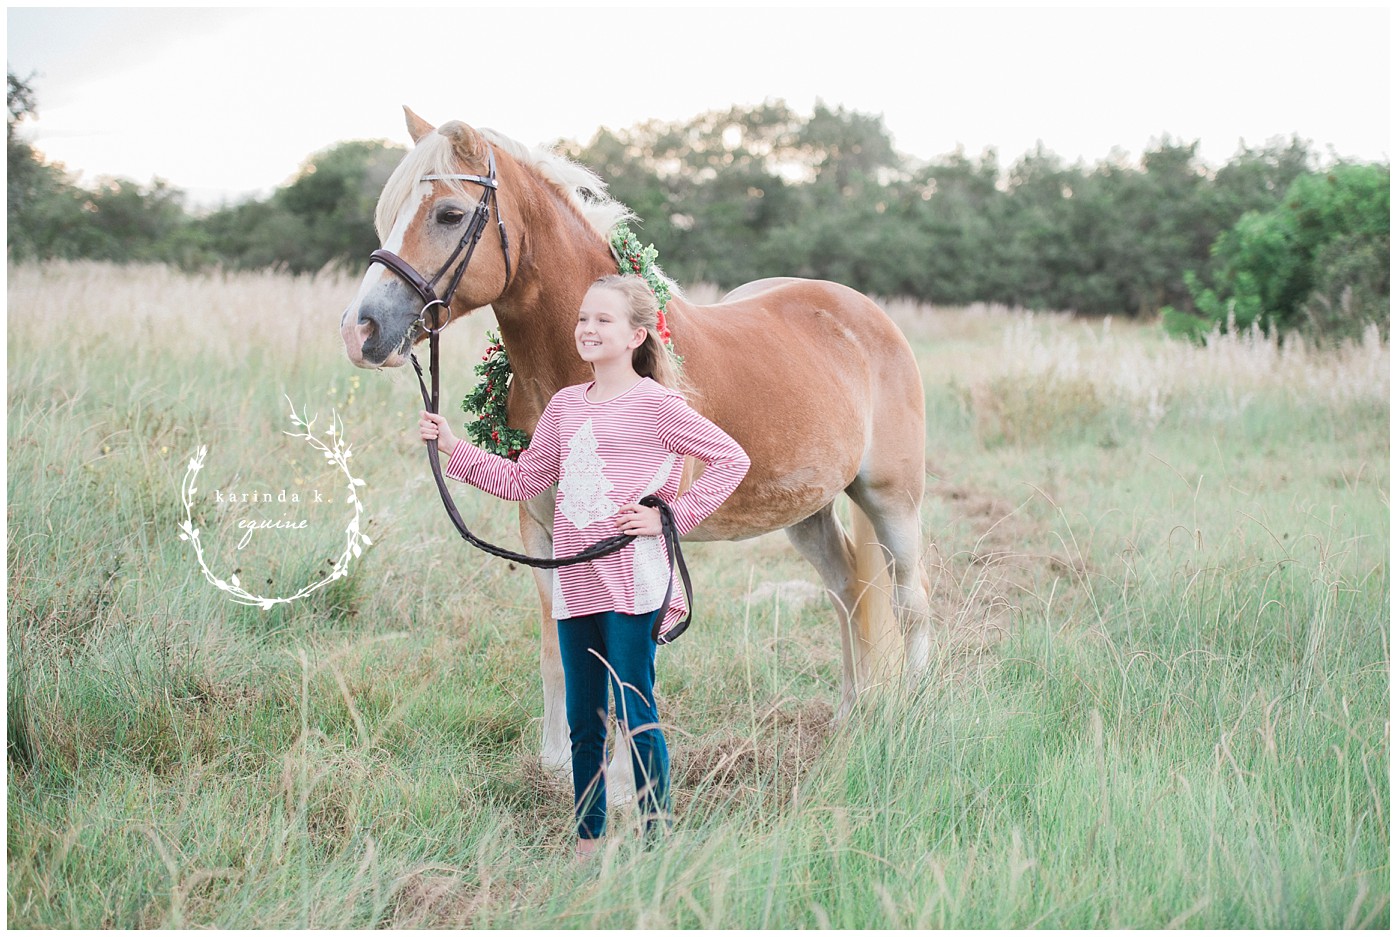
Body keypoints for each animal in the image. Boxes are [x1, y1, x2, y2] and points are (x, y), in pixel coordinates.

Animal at [339, 108, 933, 783]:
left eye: (448, 213)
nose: (361, 331)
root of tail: (863, 314)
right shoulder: (542, 528)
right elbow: (558, 642)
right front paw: (559, 762)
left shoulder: (636, 533)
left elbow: (626, 656)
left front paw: (624, 783)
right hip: (806, 509)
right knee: (847, 592)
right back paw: (849, 718)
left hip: (892, 499)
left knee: (910, 600)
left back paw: (913, 715)